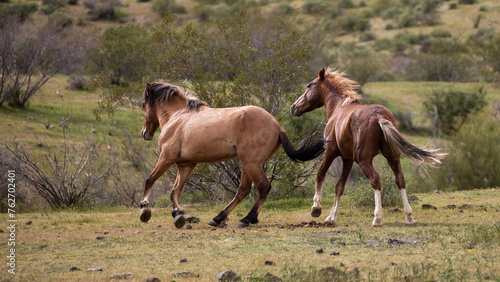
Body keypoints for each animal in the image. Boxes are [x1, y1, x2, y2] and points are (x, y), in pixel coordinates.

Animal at [139, 82, 324, 228]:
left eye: (143, 105)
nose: (144, 133)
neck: (179, 116)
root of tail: (277, 126)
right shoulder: (186, 165)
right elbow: (175, 191)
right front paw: (177, 214)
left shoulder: (166, 158)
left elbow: (150, 180)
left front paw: (144, 208)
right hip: (248, 164)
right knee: (243, 190)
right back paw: (219, 218)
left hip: (251, 163)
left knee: (262, 187)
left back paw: (247, 219)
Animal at [290, 68, 446, 227]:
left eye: (309, 85)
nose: (294, 107)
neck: (339, 108)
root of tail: (379, 117)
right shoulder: (348, 159)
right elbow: (339, 186)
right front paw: (331, 217)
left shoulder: (330, 152)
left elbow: (320, 174)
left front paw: (316, 208)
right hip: (392, 156)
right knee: (400, 179)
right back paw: (409, 217)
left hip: (363, 160)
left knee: (375, 179)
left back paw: (377, 218)